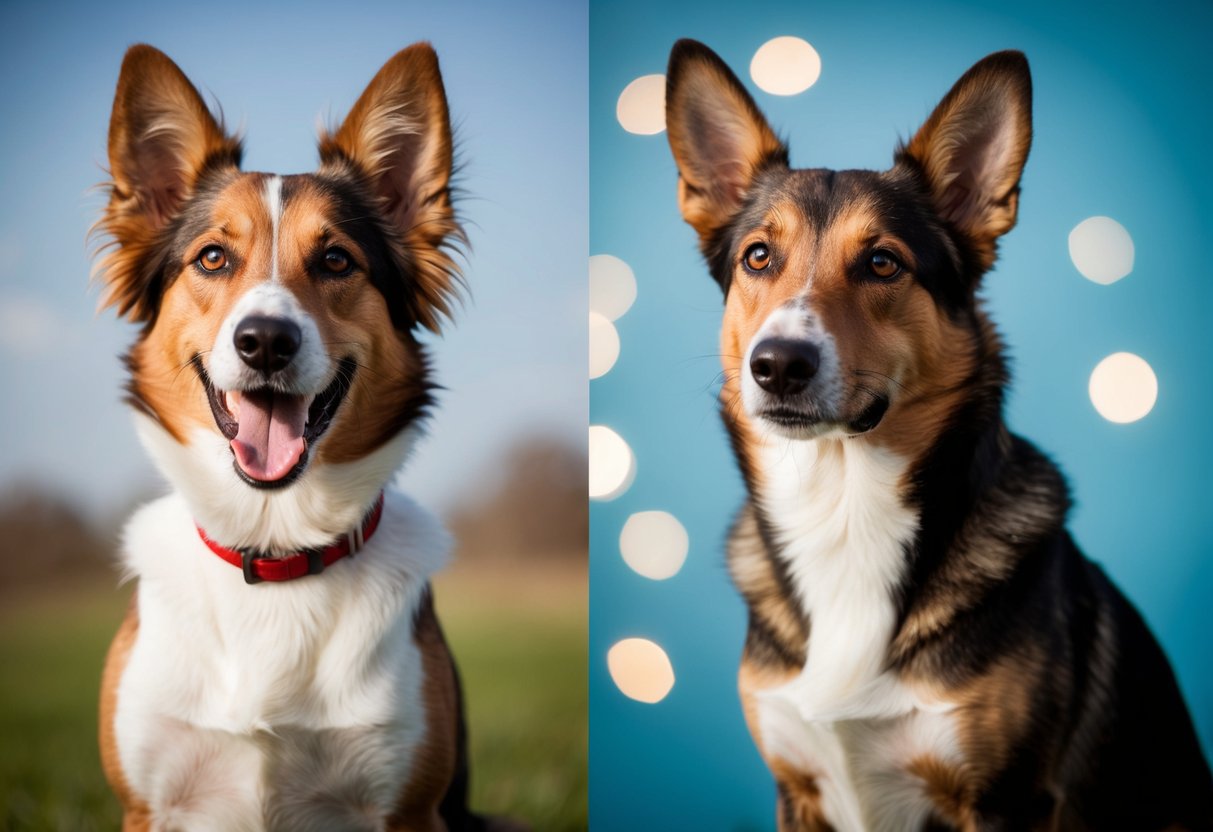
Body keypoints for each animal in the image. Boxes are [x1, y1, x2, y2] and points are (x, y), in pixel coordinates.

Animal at [93, 45, 511, 832]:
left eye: (336, 261)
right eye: (213, 258)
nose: (265, 341)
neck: (274, 544)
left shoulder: (410, 809)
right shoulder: (147, 807)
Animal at [664, 37, 1213, 829]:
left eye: (882, 262)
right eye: (758, 257)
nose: (777, 365)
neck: (846, 509)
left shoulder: (1005, 798)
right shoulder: (796, 790)